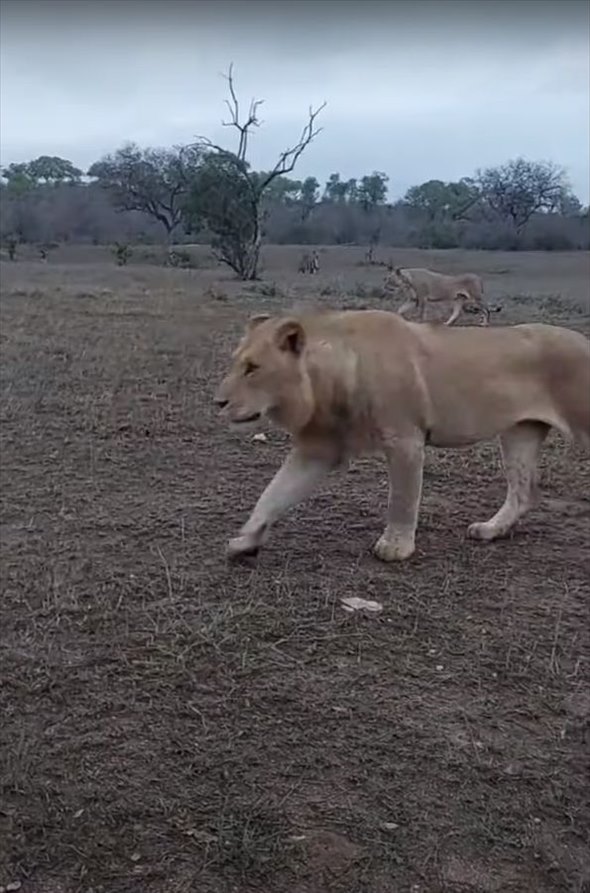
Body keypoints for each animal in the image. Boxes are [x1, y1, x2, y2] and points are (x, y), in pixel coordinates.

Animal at [215, 312, 590, 564]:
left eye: (253, 368)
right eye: (235, 363)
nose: (218, 403)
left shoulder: (405, 439)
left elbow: (403, 497)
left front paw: (395, 548)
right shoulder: (317, 449)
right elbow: (273, 493)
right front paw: (246, 539)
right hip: (519, 434)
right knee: (523, 492)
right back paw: (490, 529)